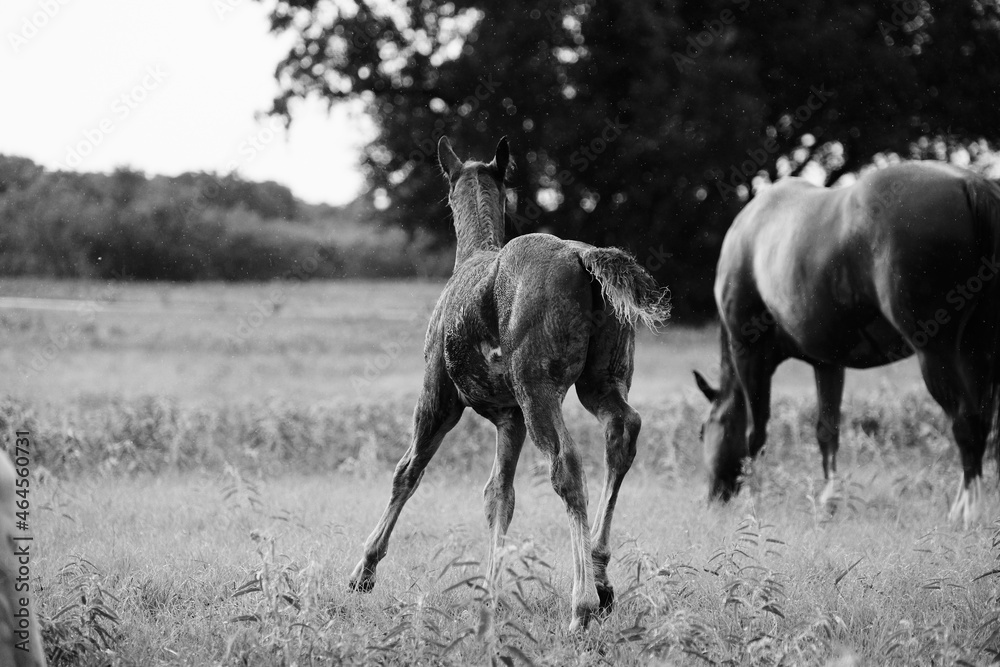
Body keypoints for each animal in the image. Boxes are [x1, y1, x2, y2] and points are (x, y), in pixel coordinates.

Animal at [348, 136, 670, 631]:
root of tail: (582, 257)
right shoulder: (509, 418)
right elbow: (499, 495)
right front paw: (491, 593)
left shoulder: (438, 400)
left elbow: (408, 472)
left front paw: (364, 570)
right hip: (598, 385)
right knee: (622, 432)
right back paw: (600, 576)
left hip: (538, 390)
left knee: (567, 465)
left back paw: (581, 604)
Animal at [693, 161, 1000, 525]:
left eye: (703, 431)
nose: (712, 498)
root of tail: (970, 183)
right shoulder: (828, 364)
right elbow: (827, 432)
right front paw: (829, 501)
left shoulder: (750, 357)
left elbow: (757, 433)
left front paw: (753, 501)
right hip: (977, 353)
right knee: (981, 424)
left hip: (937, 354)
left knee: (966, 424)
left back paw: (966, 512)